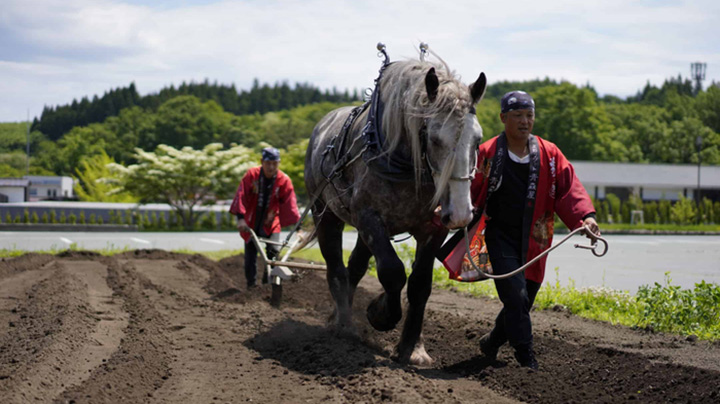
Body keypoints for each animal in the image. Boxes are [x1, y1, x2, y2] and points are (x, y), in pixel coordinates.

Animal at [300, 51, 486, 366]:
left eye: (478, 139)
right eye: (434, 138)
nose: (461, 213)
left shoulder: (432, 229)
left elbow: (420, 285)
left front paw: (413, 349)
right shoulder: (368, 218)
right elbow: (392, 271)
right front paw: (380, 314)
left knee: (355, 268)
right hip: (326, 214)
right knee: (336, 268)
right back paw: (343, 325)